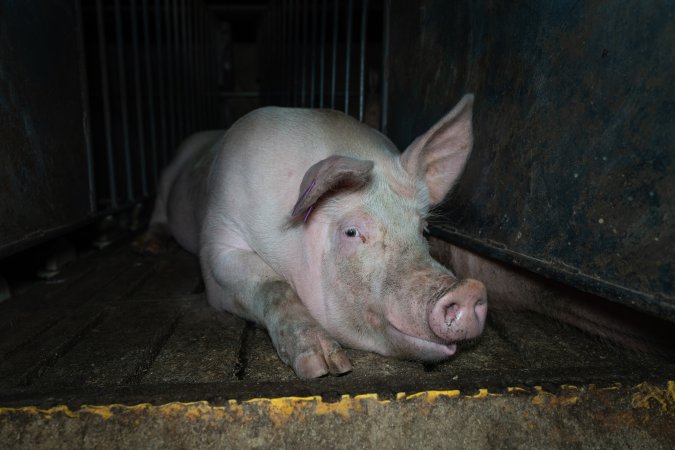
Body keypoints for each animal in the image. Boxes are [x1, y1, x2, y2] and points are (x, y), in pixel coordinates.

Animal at [134, 94, 488, 378]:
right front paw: (323, 367)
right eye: (351, 232)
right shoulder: (217, 244)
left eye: (423, 229)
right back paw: (148, 247)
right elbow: (272, 283)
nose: (468, 290)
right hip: (165, 178)